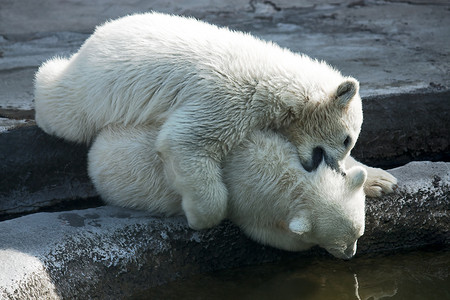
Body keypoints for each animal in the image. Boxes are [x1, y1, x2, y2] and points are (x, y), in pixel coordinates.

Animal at [34, 12, 394, 230]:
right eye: (347, 139)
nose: (338, 169)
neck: (279, 81)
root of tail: (102, 30)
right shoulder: (229, 96)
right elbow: (186, 141)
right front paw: (199, 217)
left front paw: (381, 180)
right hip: (91, 90)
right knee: (63, 107)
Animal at [89, 125, 368, 258]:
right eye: (341, 243)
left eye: (360, 233)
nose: (350, 255)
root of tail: (95, 147)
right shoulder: (249, 203)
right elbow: (275, 237)